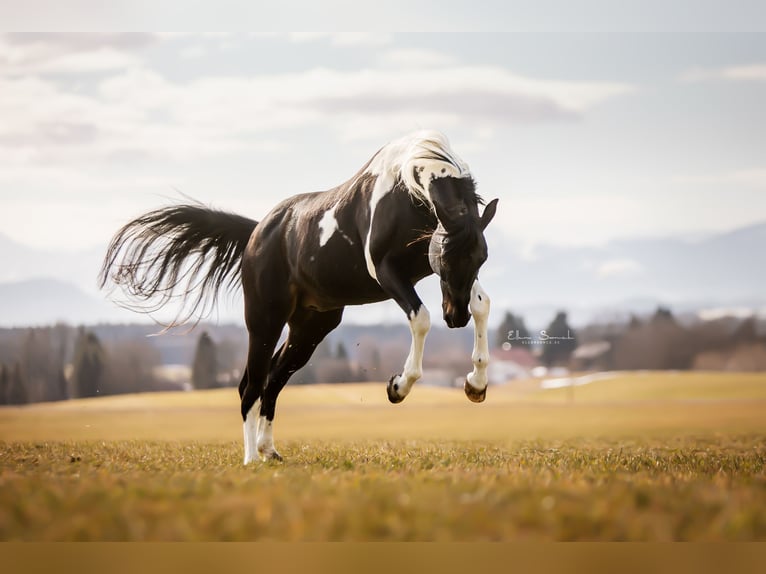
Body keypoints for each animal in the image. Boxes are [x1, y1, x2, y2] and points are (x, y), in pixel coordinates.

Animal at [99, 130, 498, 464]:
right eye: (445, 258)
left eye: (481, 258)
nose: (455, 318)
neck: (407, 190)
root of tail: (257, 233)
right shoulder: (388, 272)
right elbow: (421, 317)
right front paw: (398, 387)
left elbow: (482, 304)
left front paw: (475, 385)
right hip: (265, 321)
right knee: (250, 385)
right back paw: (250, 459)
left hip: (310, 328)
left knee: (272, 380)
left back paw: (268, 450)